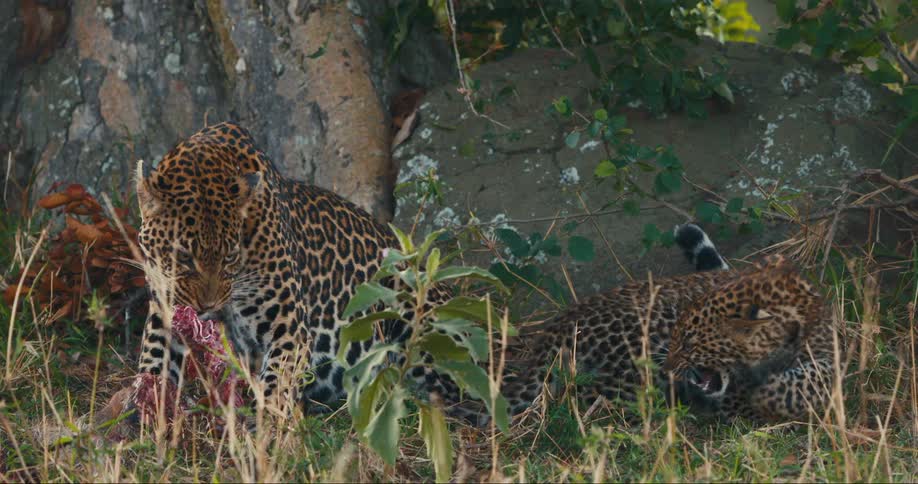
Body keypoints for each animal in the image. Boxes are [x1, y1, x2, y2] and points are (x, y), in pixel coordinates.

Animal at [134, 121, 455, 411]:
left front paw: (271, 427)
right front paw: (144, 410)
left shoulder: (289, 326)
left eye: (230, 256)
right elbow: (154, 356)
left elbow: (278, 383)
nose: (206, 306)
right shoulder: (164, 306)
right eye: (183, 256)